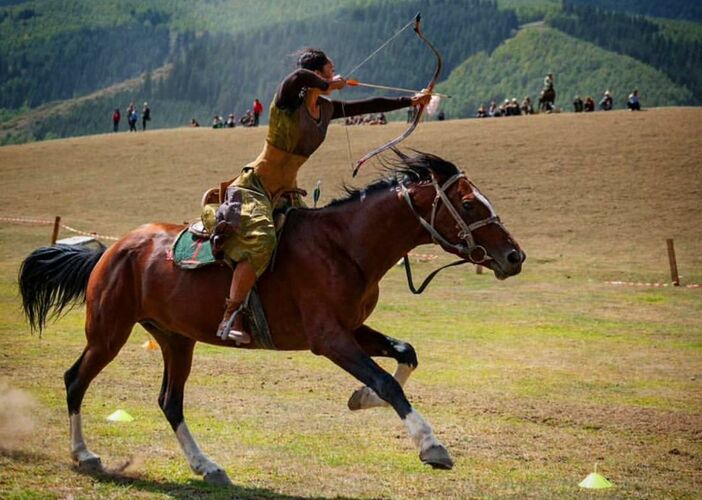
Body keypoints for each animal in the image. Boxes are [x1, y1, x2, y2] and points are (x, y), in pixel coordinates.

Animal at [19, 150, 525, 486]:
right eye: (470, 204)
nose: (514, 256)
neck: (345, 246)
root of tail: (111, 250)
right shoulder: (329, 338)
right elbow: (388, 381)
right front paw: (430, 445)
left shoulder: (351, 329)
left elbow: (405, 354)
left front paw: (360, 399)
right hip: (109, 333)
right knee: (75, 380)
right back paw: (85, 454)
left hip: (177, 340)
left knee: (169, 401)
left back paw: (206, 465)